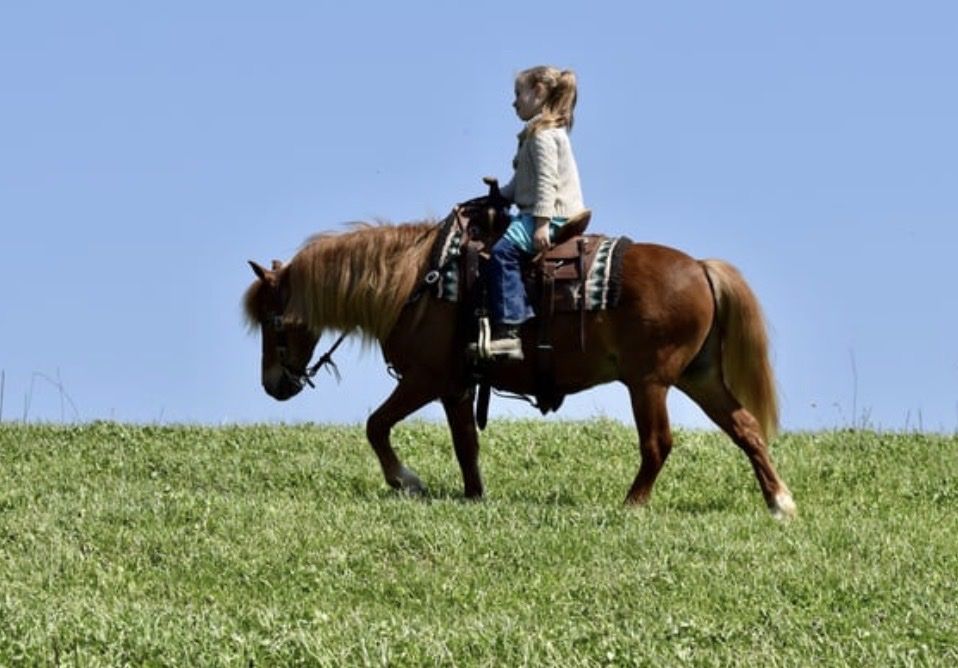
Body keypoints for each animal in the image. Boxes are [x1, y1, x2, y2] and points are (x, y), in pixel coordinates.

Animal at [243, 201, 797, 519]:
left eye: (272, 321)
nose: (273, 384)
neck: (414, 282)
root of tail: (701, 268)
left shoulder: (425, 379)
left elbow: (376, 425)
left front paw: (407, 482)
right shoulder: (457, 387)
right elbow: (466, 445)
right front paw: (473, 495)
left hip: (650, 381)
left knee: (658, 444)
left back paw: (632, 506)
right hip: (699, 377)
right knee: (746, 429)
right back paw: (779, 502)